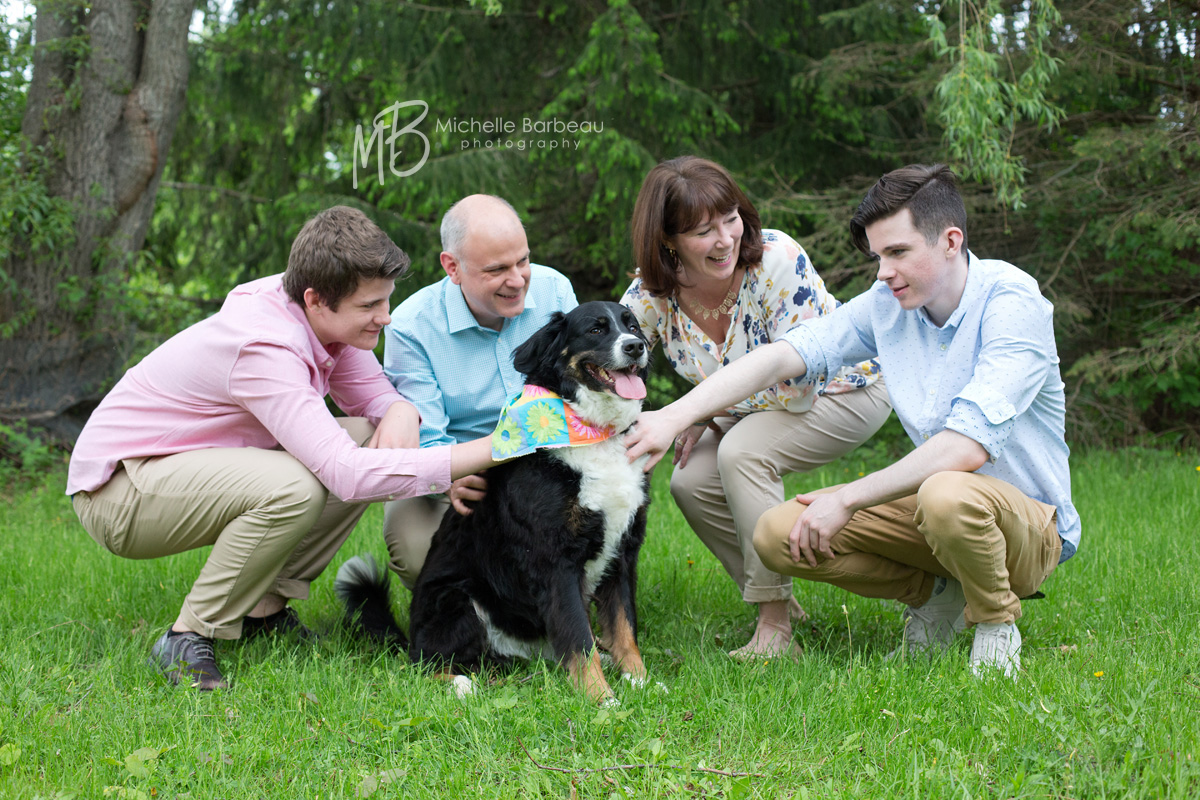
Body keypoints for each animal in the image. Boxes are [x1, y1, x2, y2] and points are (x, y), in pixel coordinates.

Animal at [338, 302, 652, 705]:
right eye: (595, 330)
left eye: (633, 326)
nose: (635, 347)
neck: (593, 434)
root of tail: (410, 633)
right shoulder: (557, 561)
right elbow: (579, 641)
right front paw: (602, 698)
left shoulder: (622, 550)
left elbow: (625, 626)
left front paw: (641, 682)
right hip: (457, 599)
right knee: (426, 661)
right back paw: (461, 682)